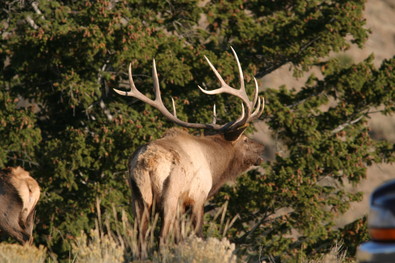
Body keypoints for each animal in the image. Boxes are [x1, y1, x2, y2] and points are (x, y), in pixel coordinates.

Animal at [114, 47, 266, 243]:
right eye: (245, 139)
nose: (262, 148)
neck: (215, 167)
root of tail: (146, 162)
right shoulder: (197, 198)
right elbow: (198, 234)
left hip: (137, 197)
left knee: (140, 238)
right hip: (170, 196)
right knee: (161, 237)